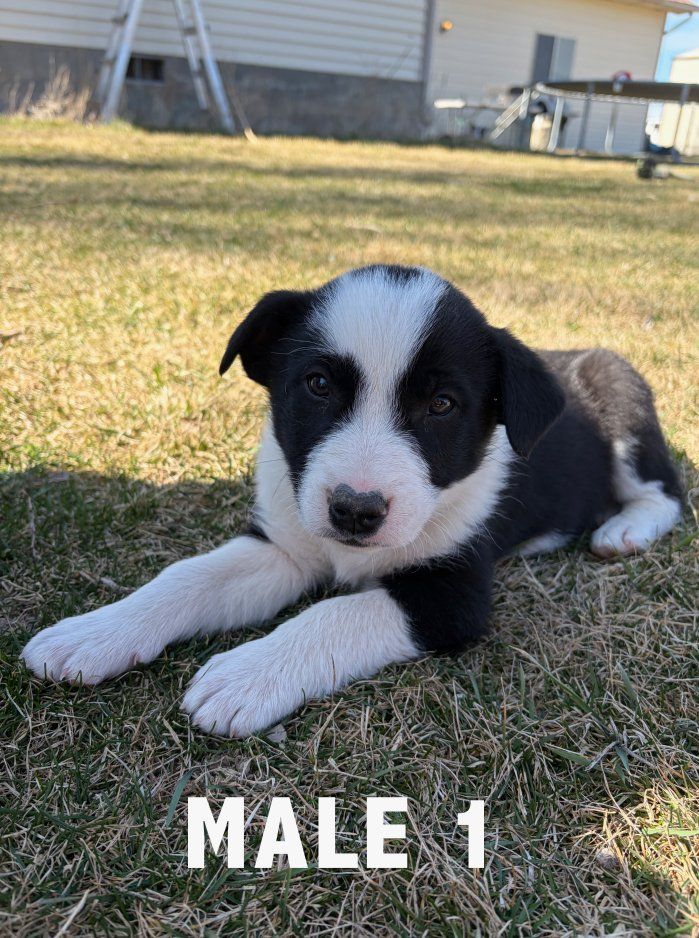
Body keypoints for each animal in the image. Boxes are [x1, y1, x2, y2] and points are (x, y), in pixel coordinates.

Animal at [22, 265, 682, 737]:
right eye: (317, 385)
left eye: (442, 405)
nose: (355, 511)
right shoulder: (284, 547)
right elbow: (187, 577)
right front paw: (94, 633)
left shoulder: (452, 596)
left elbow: (332, 615)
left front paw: (247, 674)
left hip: (622, 404)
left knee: (667, 491)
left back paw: (623, 531)